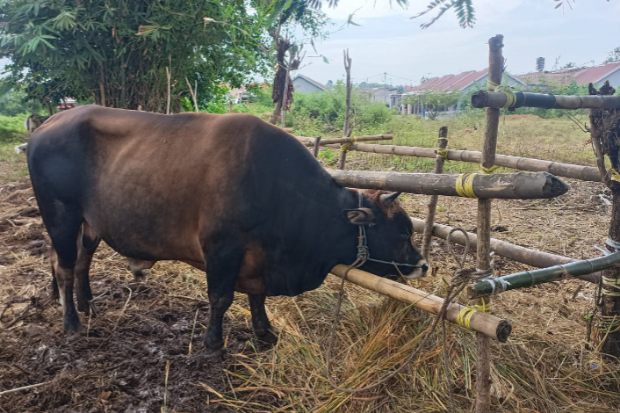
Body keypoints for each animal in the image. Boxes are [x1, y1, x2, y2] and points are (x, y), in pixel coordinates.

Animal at [27, 105, 426, 354]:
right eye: (403, 233)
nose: (422, 265)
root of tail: (47, 123)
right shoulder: (222, 248)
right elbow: (221, 298)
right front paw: (213, 345)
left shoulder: (258, 259)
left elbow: (257, 296)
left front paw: (265, 334)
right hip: (60, 217)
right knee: (63, 267)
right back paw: (72, 322)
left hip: (89, 224)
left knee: (79, 263)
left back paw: (89, 306)